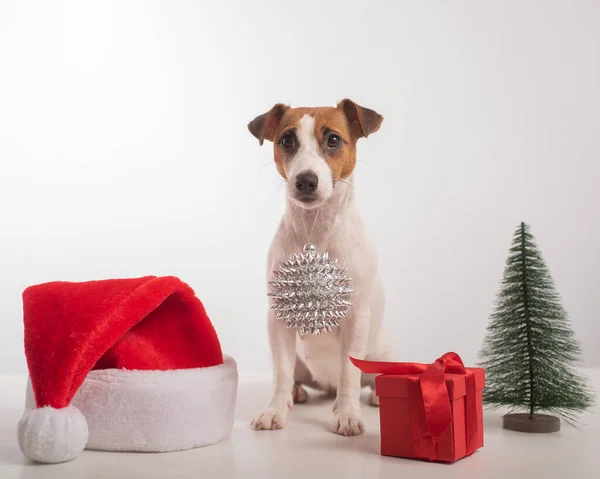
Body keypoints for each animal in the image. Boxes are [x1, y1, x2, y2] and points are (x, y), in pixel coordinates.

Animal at [246, 99, 396, 436]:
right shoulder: (278, 319)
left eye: (334, 140)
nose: (305, 179)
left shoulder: (355, 318)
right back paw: (296, 393)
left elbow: (349, 374)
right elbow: (281, 372)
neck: (316, 232)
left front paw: (348, 414)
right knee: (291, 374)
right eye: (287, 140)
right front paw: (275, 409)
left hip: (381, 353)